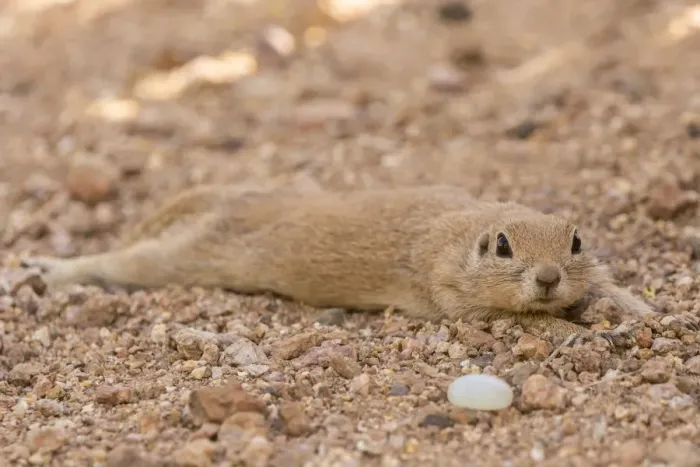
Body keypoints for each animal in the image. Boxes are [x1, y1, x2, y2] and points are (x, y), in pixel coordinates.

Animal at [21, 184, 655, 344]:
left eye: (576, 241)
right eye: (502, 247)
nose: (547, 278)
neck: (458, 239)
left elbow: (609, 283)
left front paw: (645, 310)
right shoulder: (455, 299)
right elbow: (521, 320)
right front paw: (587, 329)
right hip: (180, 258)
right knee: (123, 260)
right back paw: (44, 268)